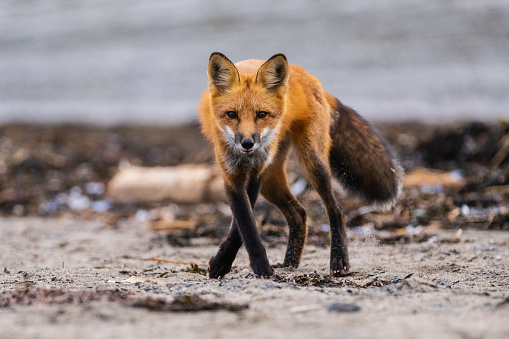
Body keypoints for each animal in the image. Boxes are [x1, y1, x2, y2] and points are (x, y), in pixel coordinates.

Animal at [198, 53, 400, 280]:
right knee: (299, 214)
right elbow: (244, 224)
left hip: (313, 163)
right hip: (271, 179)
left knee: (336, 209)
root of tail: (306, 74)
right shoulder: (232, 176)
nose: (248, 143)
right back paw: (290, 262)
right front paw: (235, 264)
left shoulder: (255, 176)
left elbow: (241, 229)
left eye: (261, 114)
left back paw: (339, 259)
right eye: (232, 114)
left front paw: (245, 266)